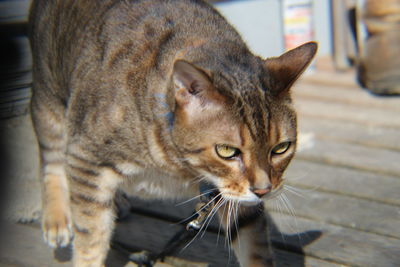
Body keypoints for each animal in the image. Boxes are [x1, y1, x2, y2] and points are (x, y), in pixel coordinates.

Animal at [28, 0, 318, 266]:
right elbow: (91, 240)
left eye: (281, 148)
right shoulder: (86, 160)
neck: (179, 168)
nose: (264, 190)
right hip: (48, 101)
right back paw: (57, 218)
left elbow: (254, 247)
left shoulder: (233, 199)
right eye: (227, 151)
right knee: (52, 162)